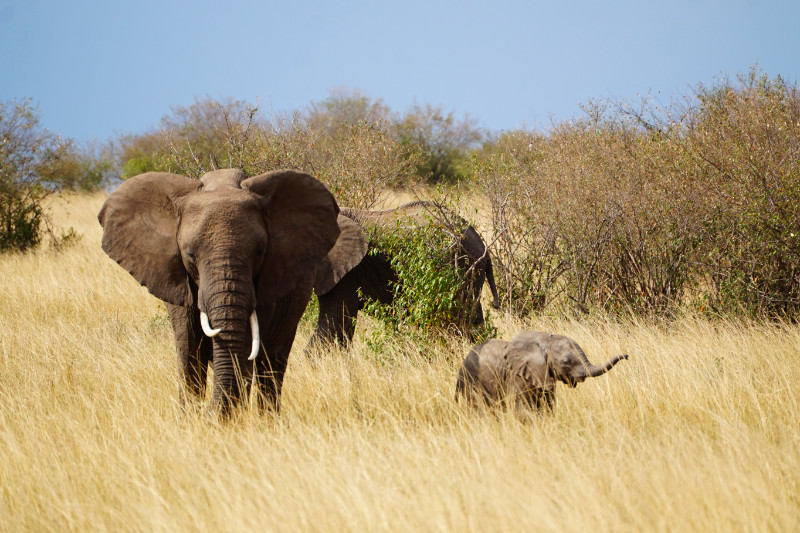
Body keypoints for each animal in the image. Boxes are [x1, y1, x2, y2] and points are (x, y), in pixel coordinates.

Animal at [98, 168, 340, 415]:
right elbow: (188, 347)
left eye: (260, 252)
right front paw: (191, 417)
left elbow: (244, 349)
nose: (204, 411)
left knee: (272, 360)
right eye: (190, 254)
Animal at [455, 330, 628, 414]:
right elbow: (520, 408)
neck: (545, 341)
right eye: (566, 362)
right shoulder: (517, 375)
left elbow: (549, 404)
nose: (627, 356)